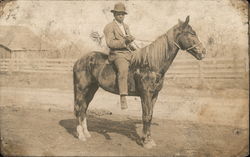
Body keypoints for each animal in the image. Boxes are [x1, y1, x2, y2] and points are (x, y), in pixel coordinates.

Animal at [73, 15, 206, 148]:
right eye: (192, 33)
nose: (203, 52)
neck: (151, 65)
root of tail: (79, 60)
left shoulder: (154, 95)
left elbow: (149, 115)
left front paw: (147, 139)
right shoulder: (146, 94)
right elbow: (146, 116)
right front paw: (147, 142)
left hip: (91, 89)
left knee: (84, 108)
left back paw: (86, 133)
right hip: (81, 89)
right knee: (79, 108)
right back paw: (81, 135)